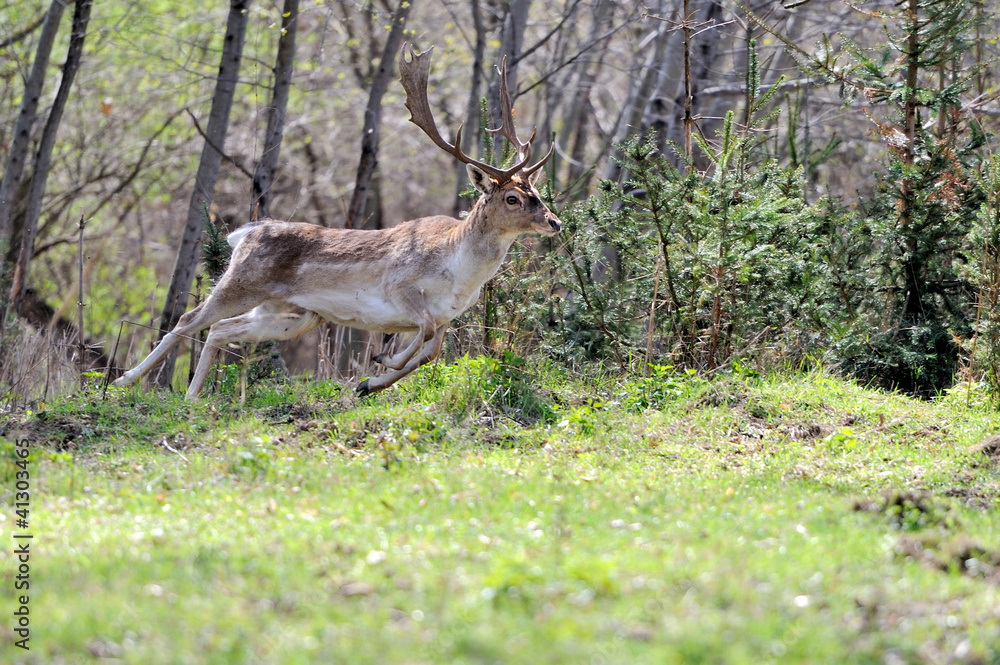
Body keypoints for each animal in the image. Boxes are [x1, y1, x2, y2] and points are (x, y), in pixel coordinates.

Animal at [115, 46, 564, 400]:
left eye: (538, 193)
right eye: (512, 197)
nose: (555, 222)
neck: (458, 272)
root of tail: (245, 233)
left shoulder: (445, 318)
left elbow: (430, 351)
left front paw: (369, 382)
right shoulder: (400, 287)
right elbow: (422, 333)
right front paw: (381, 363)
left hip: (290, 315)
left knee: (222, 330)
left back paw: (191, 397)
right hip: (242, 282)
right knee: (189, 320)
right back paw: (124, 381)